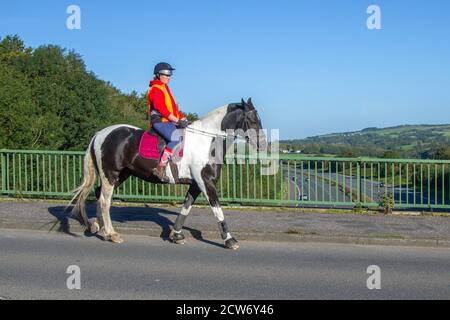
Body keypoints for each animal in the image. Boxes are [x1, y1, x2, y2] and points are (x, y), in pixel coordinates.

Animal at [70, 97, 266, 250]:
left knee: (99, 195)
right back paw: (112, 234)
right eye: (253, 120)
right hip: (111, 174)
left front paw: (176, 235)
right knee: (105, 200)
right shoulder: (206, 182)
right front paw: (229, 240)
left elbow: (186, 208)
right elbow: (217, 210)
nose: (263, 145)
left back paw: (99, 227)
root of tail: (99, 134)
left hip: (121, 175)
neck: (207, 140)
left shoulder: (196, 184)